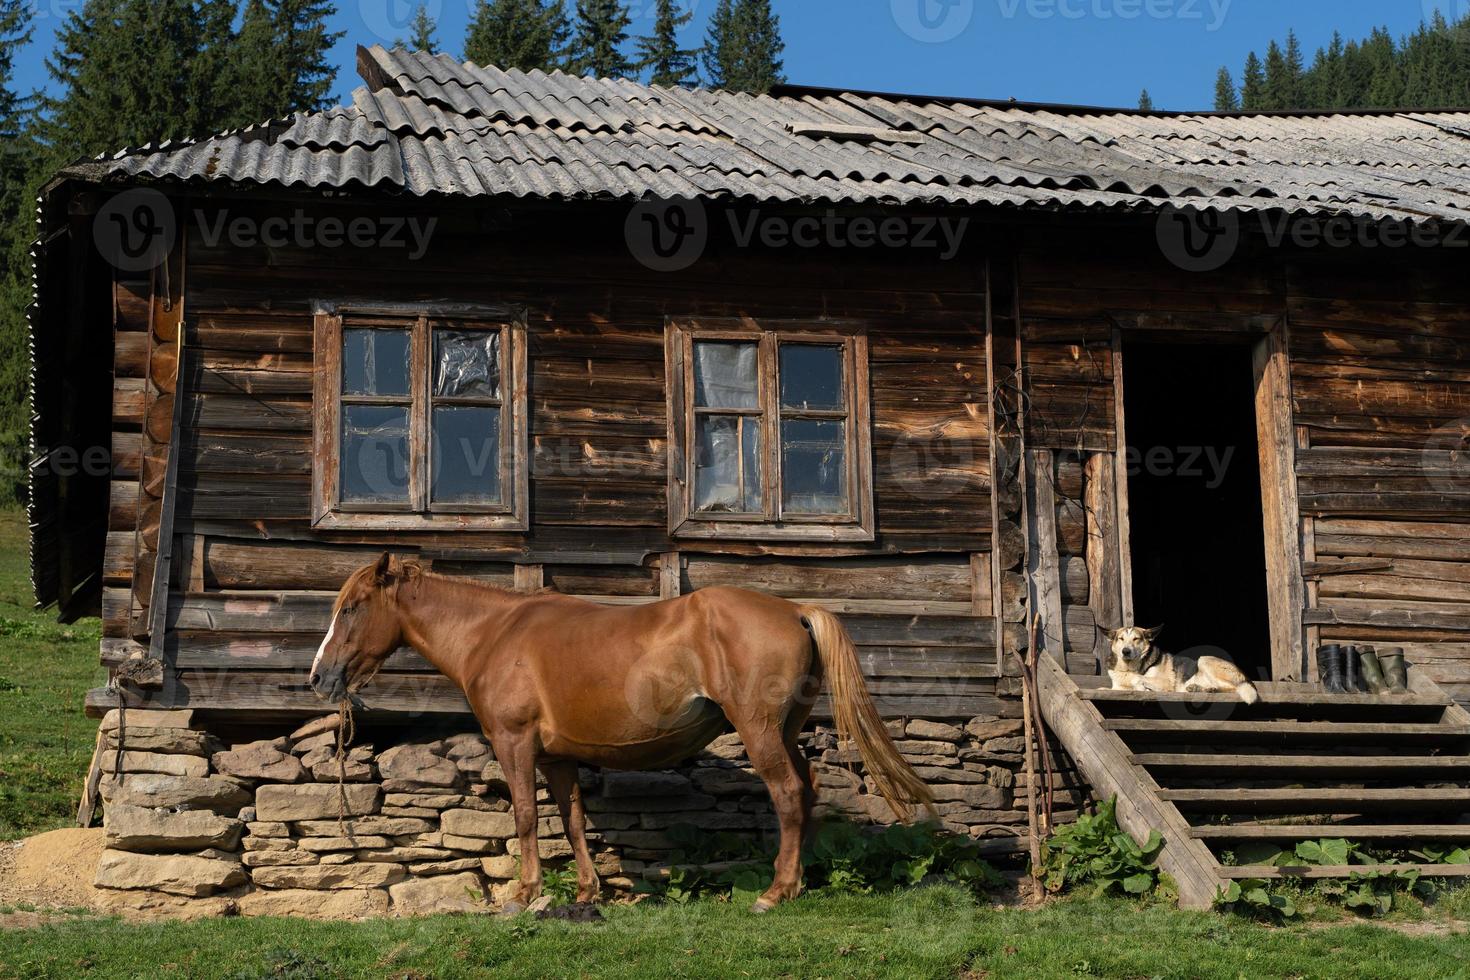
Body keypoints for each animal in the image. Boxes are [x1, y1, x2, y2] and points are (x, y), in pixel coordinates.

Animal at [311, 552, 934, 910]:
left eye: (353, 607)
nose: (319, 676)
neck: (494, 633)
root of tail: (795, 610)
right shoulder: (556, 757)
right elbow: (572, 820)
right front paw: (588, 894)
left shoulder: (515, 744)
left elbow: (525, 816)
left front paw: (525, 893)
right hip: (784, 733)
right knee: (806, 790)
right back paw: (797, 882)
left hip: (759, 733)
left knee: (785, 795)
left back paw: (775, 892)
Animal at [1105, 628, 1258, 705]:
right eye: (1121, 639)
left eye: (1136, 639)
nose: (1125, 651)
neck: (1131, 668)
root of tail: (1247, 678)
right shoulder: (1117, 687)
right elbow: (1108, 688)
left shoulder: (1166, 683)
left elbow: (1138, 680)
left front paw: (1143, 688)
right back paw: (1200, 688)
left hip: (1204, 659)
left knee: (1233, 688)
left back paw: (1208, 689)